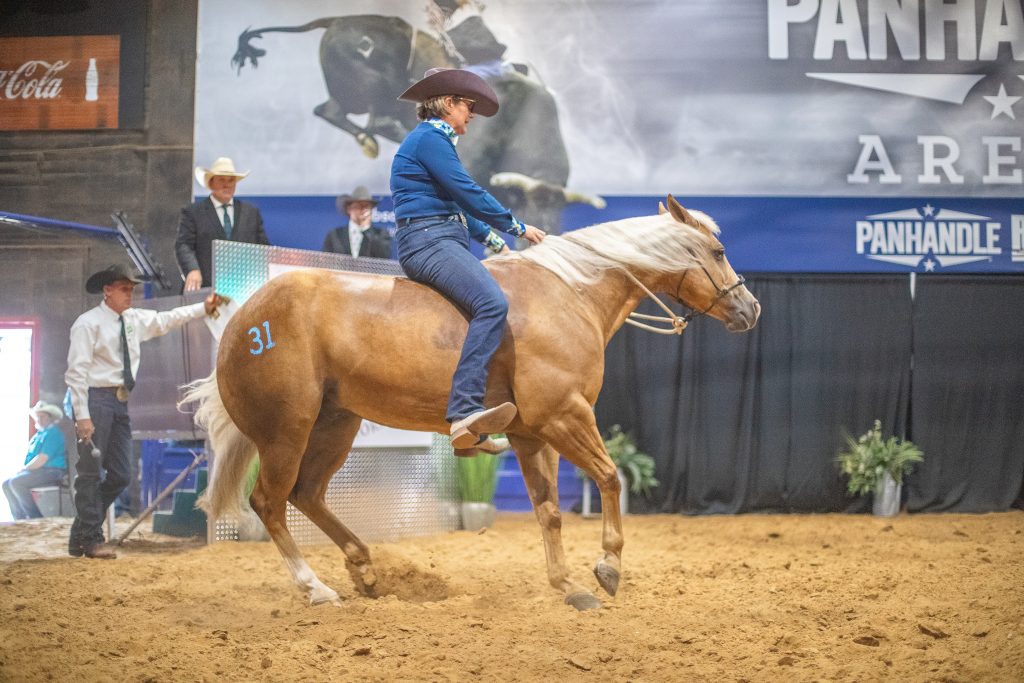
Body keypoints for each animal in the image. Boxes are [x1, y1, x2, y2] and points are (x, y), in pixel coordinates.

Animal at [184, 196, 760, 611]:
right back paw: (316, 588)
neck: (568, 292)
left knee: (307, 495)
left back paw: (364, 568)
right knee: (270, 502)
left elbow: (549, 509)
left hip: (335, 425)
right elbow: (609, 477)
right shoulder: (565, 415)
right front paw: (608, 568)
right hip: (287, 430)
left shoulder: (530, 432)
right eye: (717, 252)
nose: (750, 308)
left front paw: (567, 586)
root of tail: (243, 315)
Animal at [230, 15, 603, 232]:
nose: (547, 233)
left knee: (329, 110)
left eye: (560, 213)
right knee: (372, 118)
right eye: (524, 205)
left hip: (349, 97)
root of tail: (340, 19)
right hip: (371, 89)